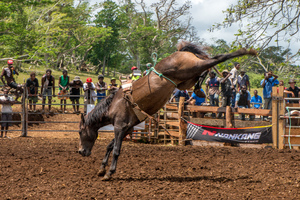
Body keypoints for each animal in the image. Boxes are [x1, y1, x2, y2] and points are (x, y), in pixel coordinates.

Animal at [77, 40, 255, 180]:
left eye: (80, 132)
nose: (80, 151)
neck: (113, 104)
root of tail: (180, 52)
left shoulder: (120, 127)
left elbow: (115, 150)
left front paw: (108, 173)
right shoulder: (127, 127)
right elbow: (110, 146)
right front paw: (101, 169)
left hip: (191, 68)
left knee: (216, 59)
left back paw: (247, 51)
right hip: (186, 79)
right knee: (206, 68)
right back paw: (199, 89)